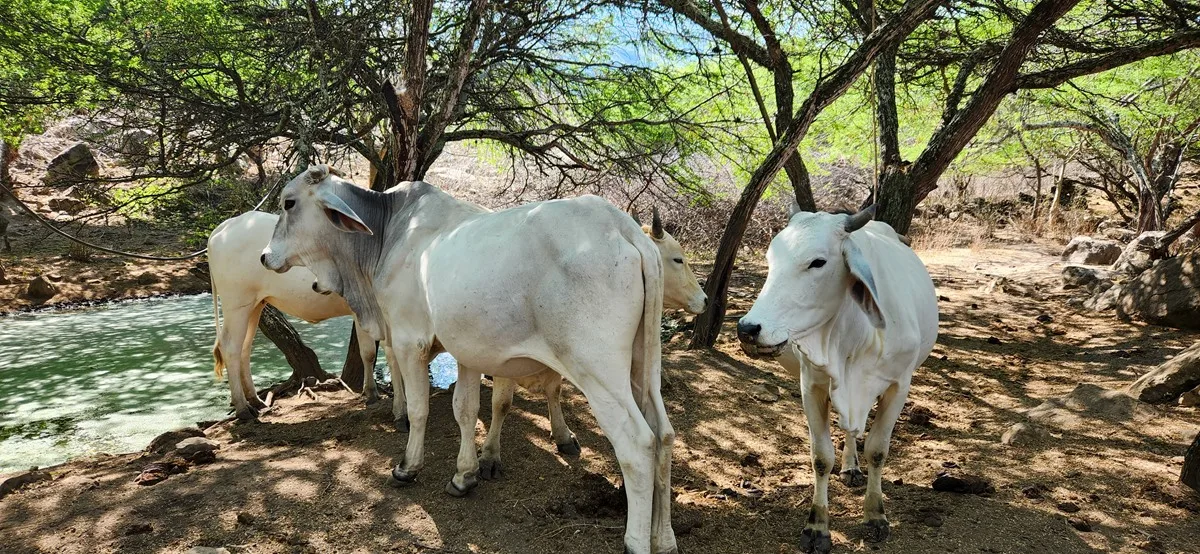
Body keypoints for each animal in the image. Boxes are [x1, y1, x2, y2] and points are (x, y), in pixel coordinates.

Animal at [208, 211, 381, 421]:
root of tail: (226, 225)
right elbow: (369, 353)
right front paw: (371, 394)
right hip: (237, 303)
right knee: (230, 347)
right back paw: (242, 409)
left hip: (255, 306)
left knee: (244, 349)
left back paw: (255, 400)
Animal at [260, 165, 678, 554]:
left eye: (289, 202)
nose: (265, 256)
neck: (388, 232)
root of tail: (624, 228)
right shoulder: (467, 351)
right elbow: (466, 409)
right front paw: (466, 475)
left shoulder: (410, 340)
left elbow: (420, 410)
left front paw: (408, 467)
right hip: (643, 365)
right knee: (664, 434)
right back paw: (665, 538)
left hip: (598, 371)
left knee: (638, 444)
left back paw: (636, 541)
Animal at [478, 207, 707, 477]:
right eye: (678, 259)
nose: (705, 299)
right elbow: (502, 403)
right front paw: (489, 456)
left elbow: (554, 391)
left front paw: (563, 436)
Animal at [734, 205, 938, 554]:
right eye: (770, 260)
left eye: (818, 262)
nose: (748, 329)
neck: (854, 339)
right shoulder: (812, 385)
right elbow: (821, 458)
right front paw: (817, 527)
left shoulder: (898, 386)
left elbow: (878, 451)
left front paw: (875, 516)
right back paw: (850, 465)